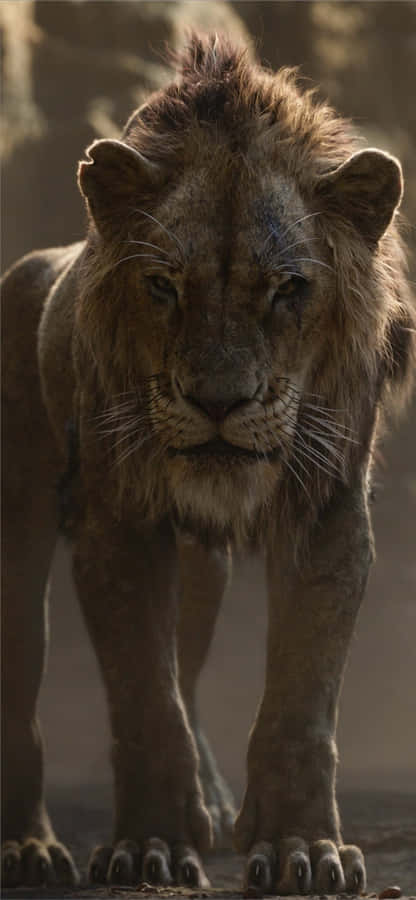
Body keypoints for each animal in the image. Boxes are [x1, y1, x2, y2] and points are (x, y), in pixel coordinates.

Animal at [2, 33, 415, 893]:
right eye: (163, 285)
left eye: (288, 289)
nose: (219, 401)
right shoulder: (119, 523)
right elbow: (143, 699)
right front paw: (149, 846)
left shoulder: (328, 511)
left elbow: (299, 701)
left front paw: (300, 850)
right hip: (16, 524)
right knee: (21, 686)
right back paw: (28, 847)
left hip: (200, 569)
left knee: (188, 666)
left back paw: (216, 804)